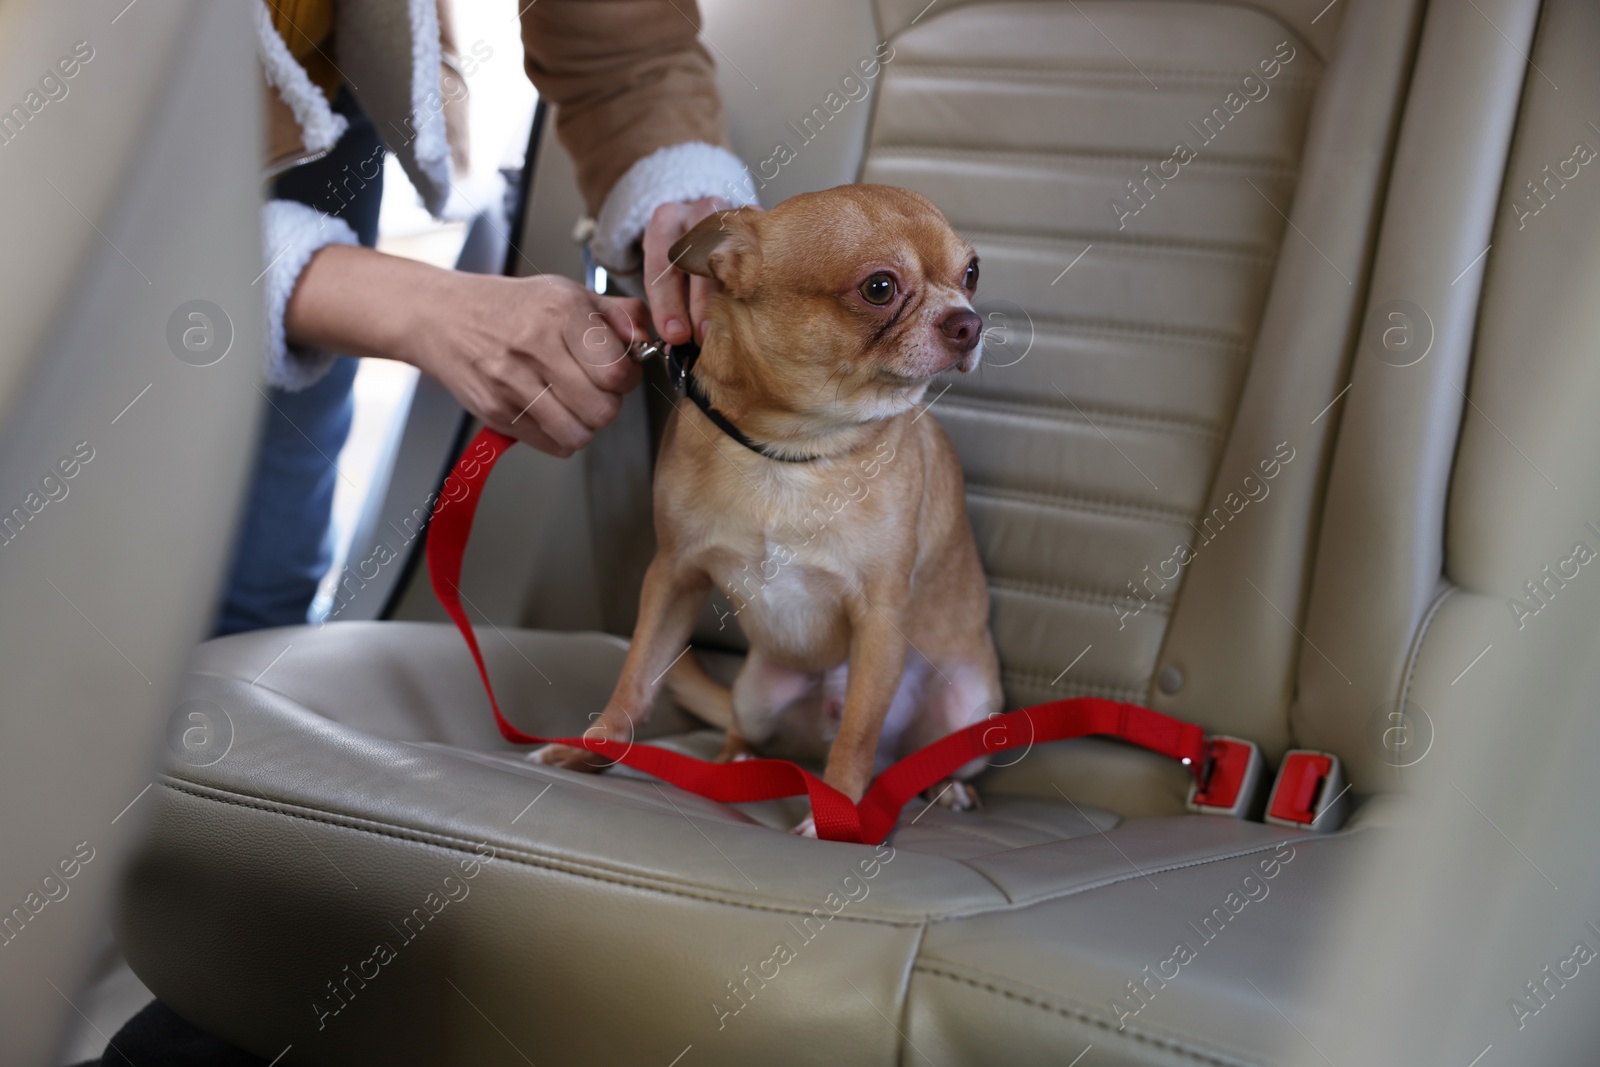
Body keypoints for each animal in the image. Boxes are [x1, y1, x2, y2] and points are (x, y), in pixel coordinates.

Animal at [537, 185, 998, 831]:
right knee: (742, 726)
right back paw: (733, 763)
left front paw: (839, 813)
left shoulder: (880, 618)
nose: (969, 322)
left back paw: (945, 788)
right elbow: (635, 678)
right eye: (879, 287)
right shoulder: (673, 576)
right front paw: (591, 750)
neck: (795, 451)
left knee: (911, 750)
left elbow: (857, 732)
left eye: (972, 274)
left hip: (971, 709)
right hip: (755, 693)